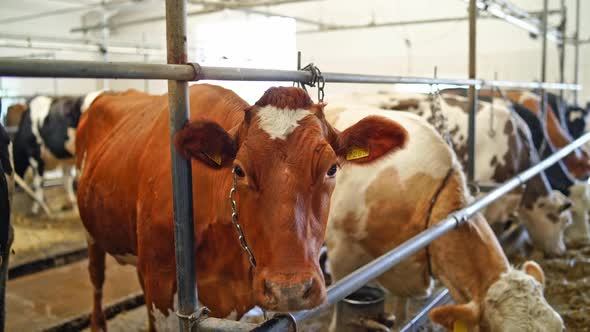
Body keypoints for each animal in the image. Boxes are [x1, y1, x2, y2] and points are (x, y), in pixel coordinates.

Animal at [74, 84, 410, 330]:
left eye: (331, 168)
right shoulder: (160, 284)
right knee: (95, 277)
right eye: (238, 170)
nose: (289, 289)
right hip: (91, 231)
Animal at [326, 107, 568, 332]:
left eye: (561, 326)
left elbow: (402, 314)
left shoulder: (405, 263)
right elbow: (337, 307)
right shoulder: (340, 251)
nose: (560, 252)